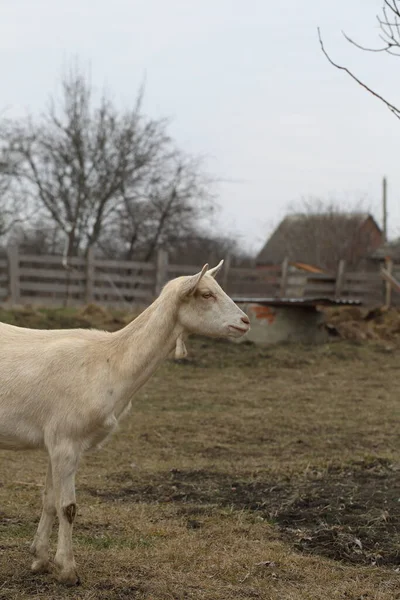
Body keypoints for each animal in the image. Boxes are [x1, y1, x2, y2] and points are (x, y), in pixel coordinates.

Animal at [0, 260, 250, 584]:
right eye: (206, 294)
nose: (245, 321)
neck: (112, 361)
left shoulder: (55, 442)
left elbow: (49, 500)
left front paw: (40, 559)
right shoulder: (67, 440)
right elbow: (68, 507)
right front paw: (68, 570)